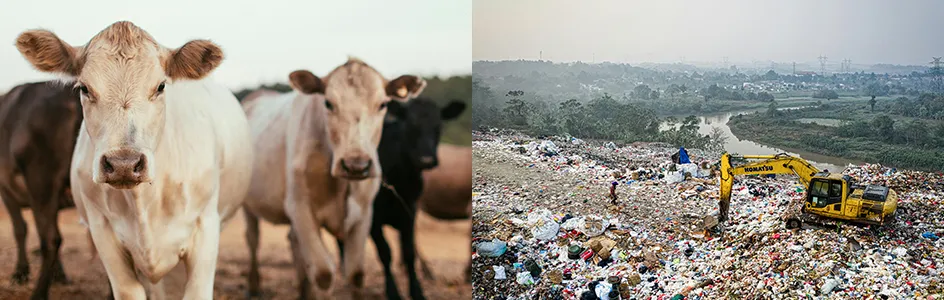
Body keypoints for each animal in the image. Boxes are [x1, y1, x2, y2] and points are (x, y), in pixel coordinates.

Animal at [0, 81, 81, 300]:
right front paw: (59, 274)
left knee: (50, 240)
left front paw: (20, 272)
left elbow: (20, 229)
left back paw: (38, 293)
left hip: (41, 182)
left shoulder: (7, 191)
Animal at [240, 59, 428, 300]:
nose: (356, 165)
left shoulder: (364, 215)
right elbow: (323, 273)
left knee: (294, 244)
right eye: (328, 103)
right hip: (248, 205)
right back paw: (254, 286)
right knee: (253, 239)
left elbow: (356, 274)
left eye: (382, 105)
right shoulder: (300, 208)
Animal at [340, 97, 468, 298]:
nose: (426, 160)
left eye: (438, 126)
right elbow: (385, 253)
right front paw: (393, 292)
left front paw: (417, 291)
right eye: (410, 126)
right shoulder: (374, 218)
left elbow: (409, 253)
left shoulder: (409, 211)